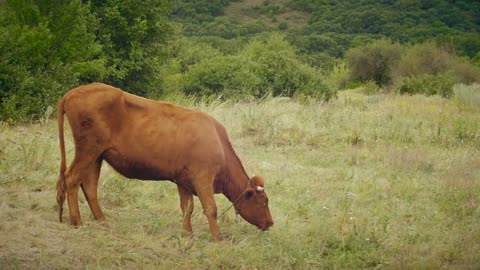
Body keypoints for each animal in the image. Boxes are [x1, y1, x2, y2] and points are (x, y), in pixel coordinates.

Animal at [55, 82, 274, 240]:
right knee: (72, 179)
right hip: (88, 151)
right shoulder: (203, 178)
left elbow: (187, 208)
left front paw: (187, 234)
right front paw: (218, 238)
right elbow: (210, 209)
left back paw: (101, 220)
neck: (217, 142)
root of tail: (73, 92)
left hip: (97, 155)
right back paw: (77, 221)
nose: (271, 223)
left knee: (89, 186)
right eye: (263, 202)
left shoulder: (183, 181)